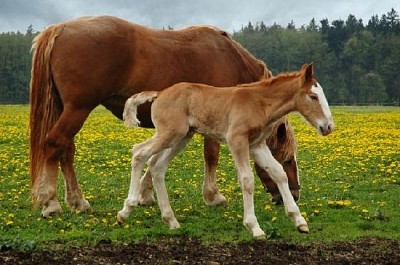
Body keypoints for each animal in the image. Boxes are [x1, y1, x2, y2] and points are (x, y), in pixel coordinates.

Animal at [30, 14, 300, 217]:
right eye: (287, 160)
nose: (294, 194)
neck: (229, 59)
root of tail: (59, 28)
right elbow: (211, 156)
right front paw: (213, 196)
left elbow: (155, 158)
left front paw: (145, 194)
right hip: (78, 108)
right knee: (55, 144)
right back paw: (51, 202)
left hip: (68, 109)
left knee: (66, 150)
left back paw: (77, 201)